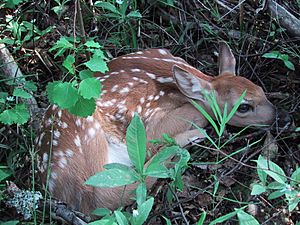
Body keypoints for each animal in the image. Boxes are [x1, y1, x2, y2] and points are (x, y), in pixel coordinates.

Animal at [35, 41, 290, 214]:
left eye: (261, 90)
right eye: (244, 107)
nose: (281, 117)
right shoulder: (151, 122)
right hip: (88, 135)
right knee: (106, 195)